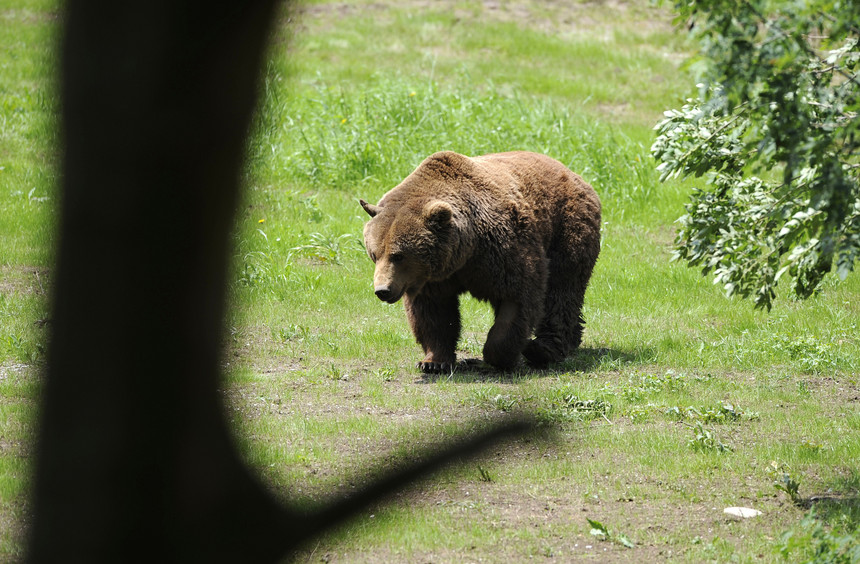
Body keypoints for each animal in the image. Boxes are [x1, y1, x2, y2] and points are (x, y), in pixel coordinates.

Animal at [360, 150, 601, 373]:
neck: (465, 251)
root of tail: (574, 174)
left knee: (562, 290)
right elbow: (434, 314)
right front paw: (433, 362)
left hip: (566, 229)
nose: (382, 290)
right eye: (374, 254)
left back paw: (543, 349)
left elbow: (517, 298)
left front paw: (499, 356)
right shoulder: (433, 277)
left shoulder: (502, 251)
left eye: (398, 255)